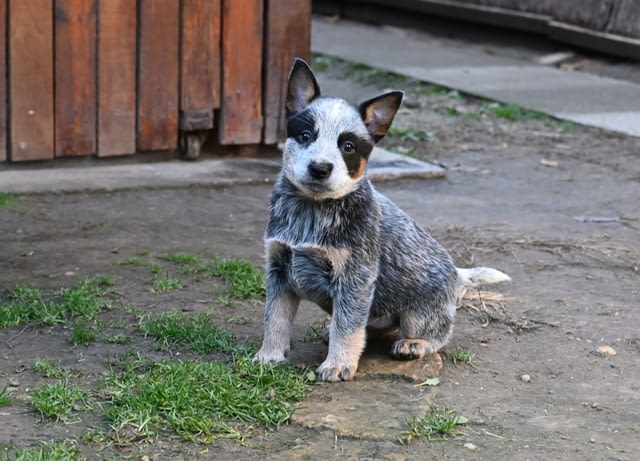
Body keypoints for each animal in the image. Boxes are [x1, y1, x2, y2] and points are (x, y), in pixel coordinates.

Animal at [252, 57, 508, 380]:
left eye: (348, 146)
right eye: (305, 135)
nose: (320, 168)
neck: (311, 211)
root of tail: (457, 273)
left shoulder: (355, 278)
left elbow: (348, 327)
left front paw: (338, 365)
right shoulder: (279, 269)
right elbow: (274, 318)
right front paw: (269, 356)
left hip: (418, 314)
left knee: (436, 334)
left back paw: (414, 344)